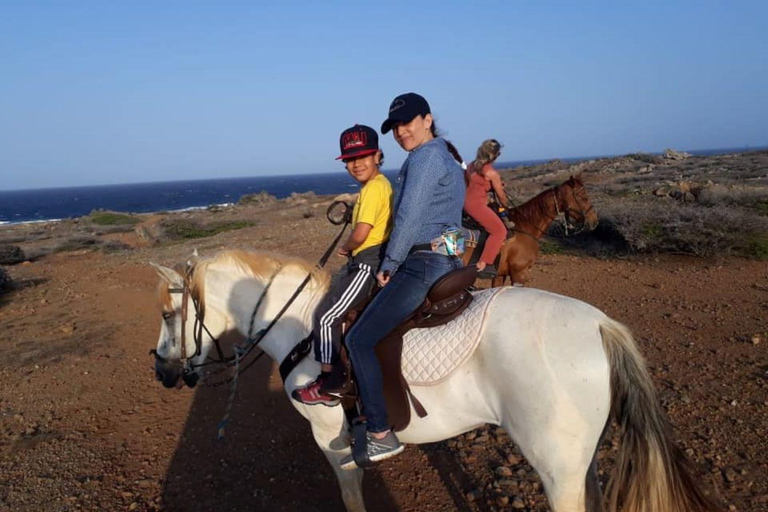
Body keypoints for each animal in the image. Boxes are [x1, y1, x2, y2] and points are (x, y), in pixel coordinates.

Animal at [152, 249, 720, 512]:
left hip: (557, 468)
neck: (305, 327)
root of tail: (600, 324)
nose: (162, 370)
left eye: (166, 314)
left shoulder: (331, 439)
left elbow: (352, 495)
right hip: (584, 461)